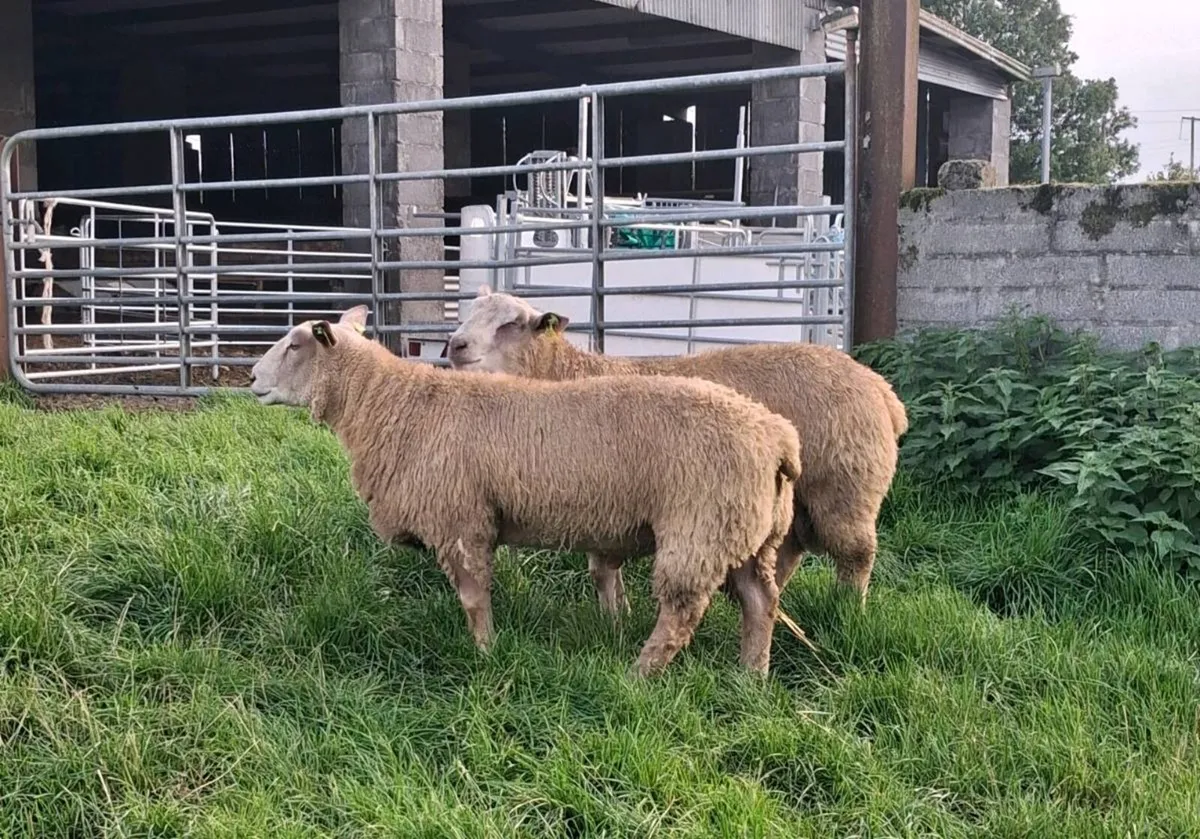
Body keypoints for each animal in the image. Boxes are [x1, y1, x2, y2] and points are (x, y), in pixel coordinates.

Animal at [248, 305, 802, 677]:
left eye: (295, 344)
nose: (251, 377)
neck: (393, 405)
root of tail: (777, 436)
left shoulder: (461, 520)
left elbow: (474, 598)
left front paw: (485, 652)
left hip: (701, 527)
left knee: (682, 613)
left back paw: (639, 675)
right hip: (748, 533)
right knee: (761, 602)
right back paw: (751, 676)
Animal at [447, 286, 908, 611]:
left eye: (511, 324)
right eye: (467, 314)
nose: (454, 345)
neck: (568, 373)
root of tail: (882, 391)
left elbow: (602, 567)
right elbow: (603, 568)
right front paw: (616, 618)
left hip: (846, 487)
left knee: (856, 554)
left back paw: (848, 609)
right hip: (795, 500)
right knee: (790, 552)